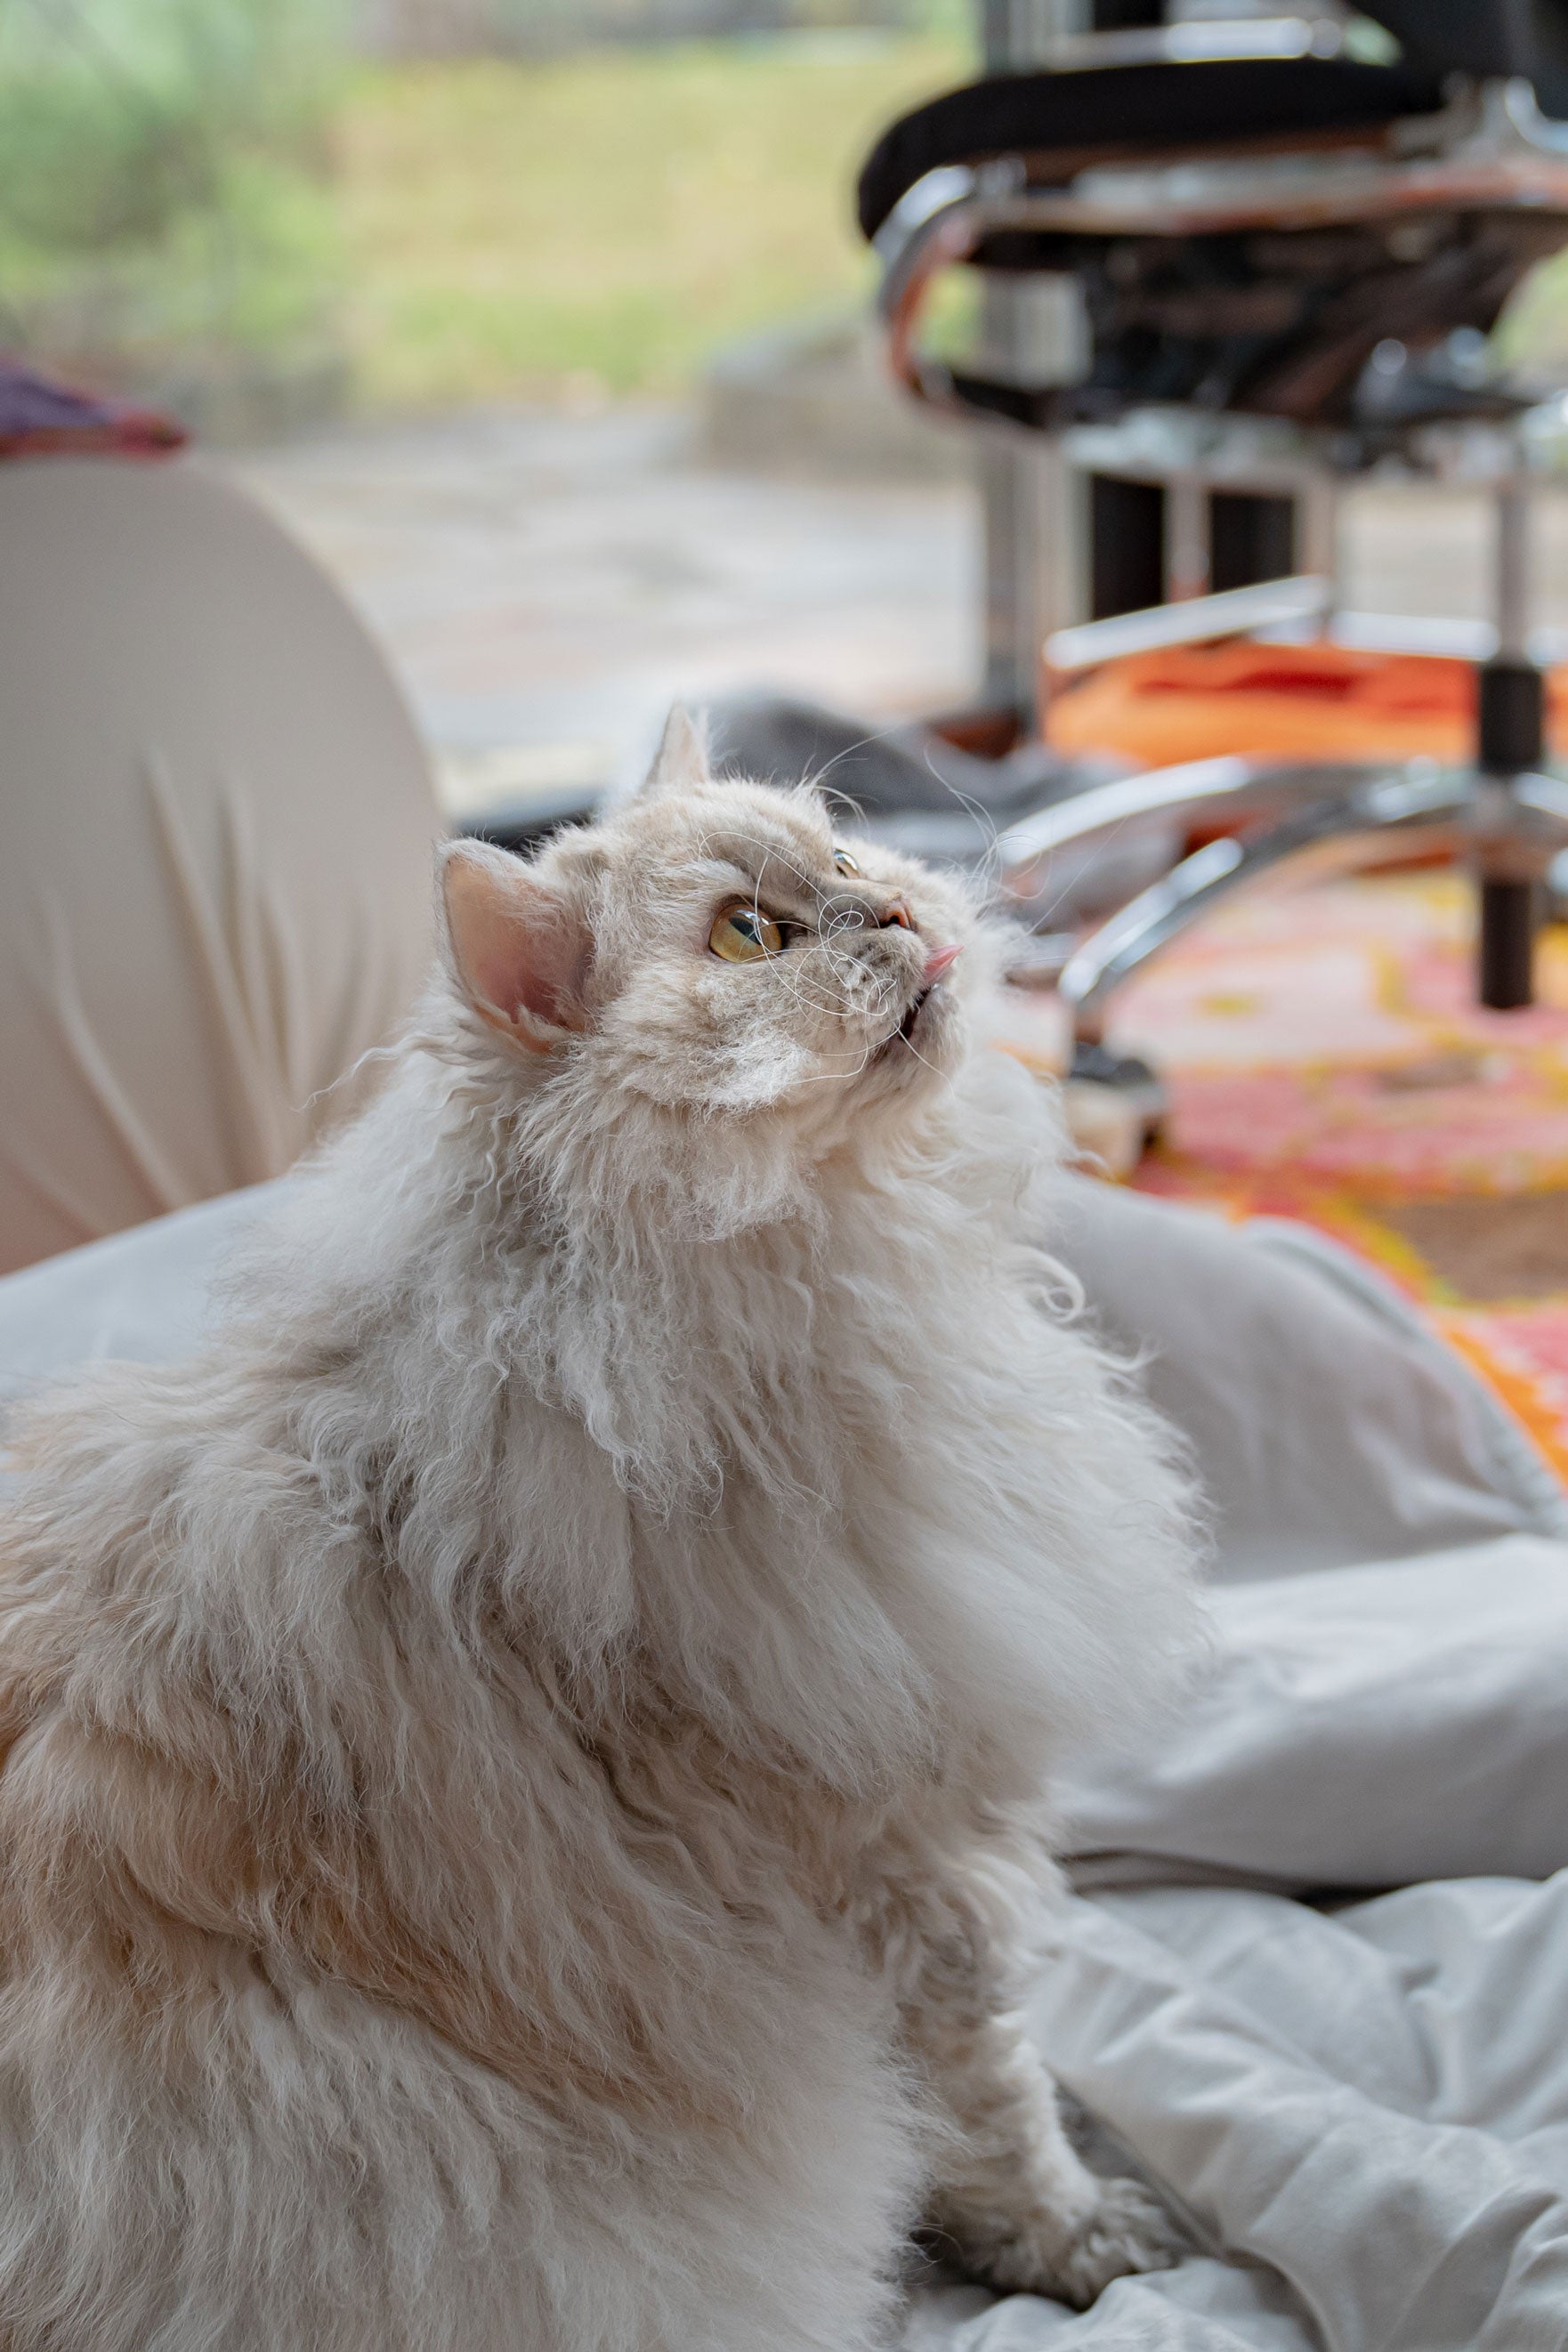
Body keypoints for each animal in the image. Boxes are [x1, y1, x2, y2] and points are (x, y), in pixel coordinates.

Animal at [0, 719, 1193, 2352]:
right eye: (748, 935)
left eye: (844, 855)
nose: (896, 909)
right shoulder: (896, 1857)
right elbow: (994, 2097)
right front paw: (1076, 2238)